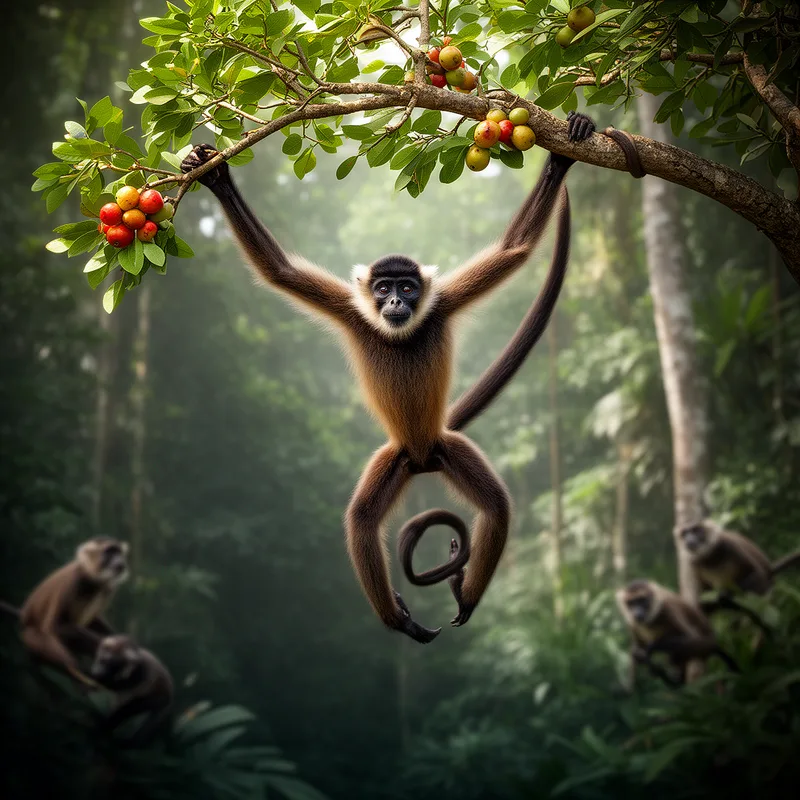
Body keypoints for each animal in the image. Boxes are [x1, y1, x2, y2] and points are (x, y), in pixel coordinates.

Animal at [16, 538, 129, 687]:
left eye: (118, 553)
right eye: (109, 553)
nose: (118, 560)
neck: (92, 578)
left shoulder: (108, 587)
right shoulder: (75, 581)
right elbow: (56, 627)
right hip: (33, 638)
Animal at [181, 111, 642, 643]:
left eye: (407, 287)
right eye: (384, 289)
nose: (398, 303)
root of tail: (421, 454)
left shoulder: (439, 304)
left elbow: (516, 249)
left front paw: (562, 158)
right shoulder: (355, 312)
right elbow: (278, 271)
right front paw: (217, 180)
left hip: (447, 449)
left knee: (496, 505)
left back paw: (465, 596)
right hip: (396, 457)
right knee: (361, 521)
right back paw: (399, 619)